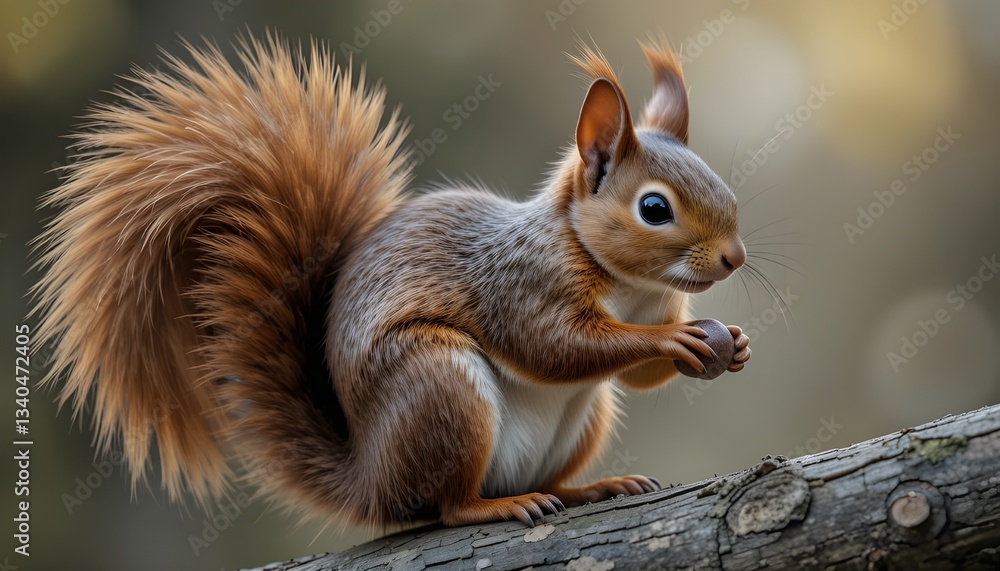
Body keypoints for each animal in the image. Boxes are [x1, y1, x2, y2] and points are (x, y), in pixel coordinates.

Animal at [33, 34, 750, 529]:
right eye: (653, 208)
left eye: (721, 183)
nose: (734, 258)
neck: (626, 283)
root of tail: (370, 479)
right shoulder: (520, 283)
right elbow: (555, 347)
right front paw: (675, 343)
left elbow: (635, 376)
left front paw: (731, 344)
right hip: (438, 383)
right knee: (445, 503)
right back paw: (495, 505)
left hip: (582, 418)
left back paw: (588, 488)